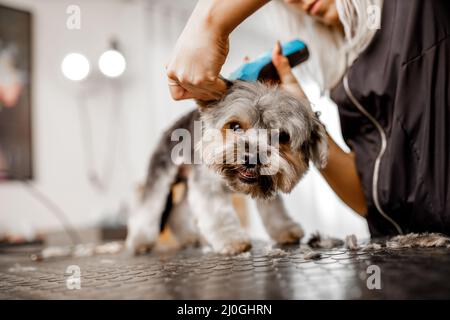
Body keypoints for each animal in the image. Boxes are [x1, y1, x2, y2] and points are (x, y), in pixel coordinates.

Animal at [125, 80, 326, 255]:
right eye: (235, 126)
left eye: (283, 136)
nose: (251, 158)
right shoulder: (208, 185)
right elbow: (218, 213)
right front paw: (232, 240)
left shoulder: (265, 183)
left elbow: (273, 208)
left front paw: (284, 229)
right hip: (162, 170)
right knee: (150, 204)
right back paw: (140, 240)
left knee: (178, 209)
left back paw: (188, 237)